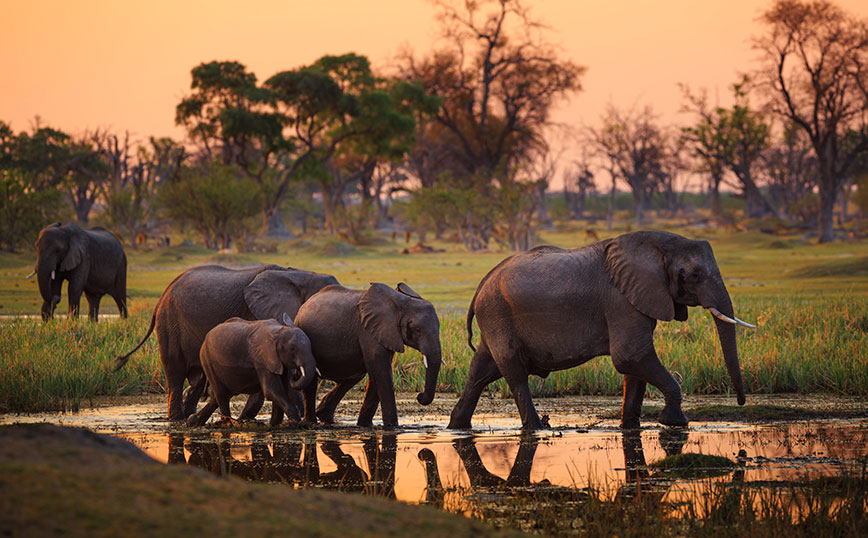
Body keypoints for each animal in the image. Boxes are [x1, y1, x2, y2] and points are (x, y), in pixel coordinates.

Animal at [186, 314, 318, 428]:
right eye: (292, 348)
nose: (296, 373)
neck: (278, 331)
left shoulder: (278, 362)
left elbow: (283, 389)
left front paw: (275, 424)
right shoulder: (261, 360)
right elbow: (271, 390)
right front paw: (294, 422)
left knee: (219, 396)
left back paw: (192, 422)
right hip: (206, 360)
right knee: (221, 394)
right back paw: (227, 423)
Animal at [294, 280, 444, 428]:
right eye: (417, 329)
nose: (419, 396)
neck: (401, 302)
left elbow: (378, 372)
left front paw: (365, 426)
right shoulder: (368, 330)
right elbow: (382, 371)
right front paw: (393, 427)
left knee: (354, 376)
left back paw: (325, 417)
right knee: (311, 380)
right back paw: (310, 422)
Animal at [448, 228, 752, 430]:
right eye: (694, 275)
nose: (740, 402)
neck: (658, 246)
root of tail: (482, 283)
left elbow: (634, 366)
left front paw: (630, 427)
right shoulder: (621, 300)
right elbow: (630, 356)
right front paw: (675, 423)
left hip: (494, 318)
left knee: (480, 371)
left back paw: (457, 426)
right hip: (497, 314)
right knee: (515, 374)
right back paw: (538, 428)